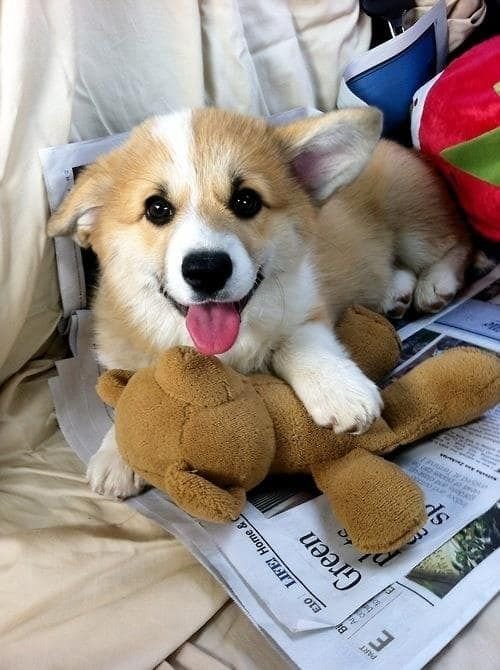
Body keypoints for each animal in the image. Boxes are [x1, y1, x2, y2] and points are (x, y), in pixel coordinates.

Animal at [48, 107, 470, 498]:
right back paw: (395, 292)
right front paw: (115, 454)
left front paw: (340, 391)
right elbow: (130, 389)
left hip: (414, 223)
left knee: (460, 246)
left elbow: (301, 345)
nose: (207, 270)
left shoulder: (305, 307)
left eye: (246, 200)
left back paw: (436, 284)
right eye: (157, 208)